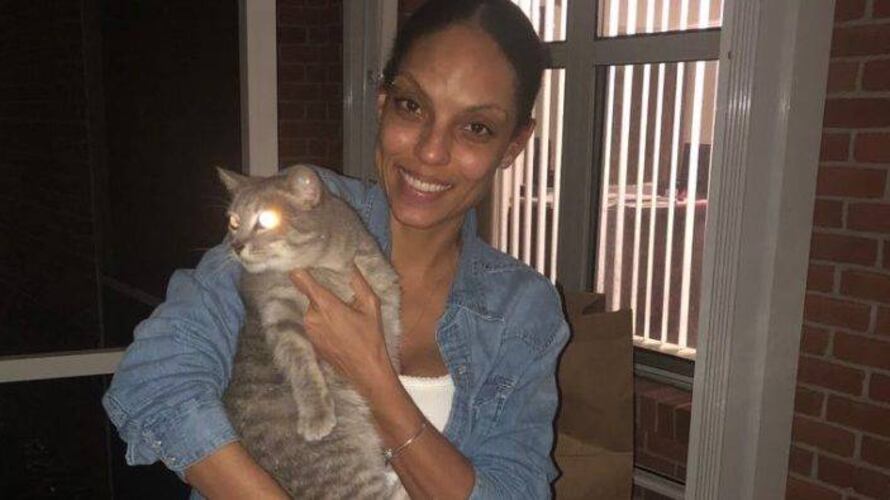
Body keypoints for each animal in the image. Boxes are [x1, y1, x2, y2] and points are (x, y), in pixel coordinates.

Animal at [218, 165, 405, 499]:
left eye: (266, 220)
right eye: (233, 222)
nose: (236, 246)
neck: (326, 267)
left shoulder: (384, 293)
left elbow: (389, 346)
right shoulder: (279, 312)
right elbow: (300, 364)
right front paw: (316, 413)